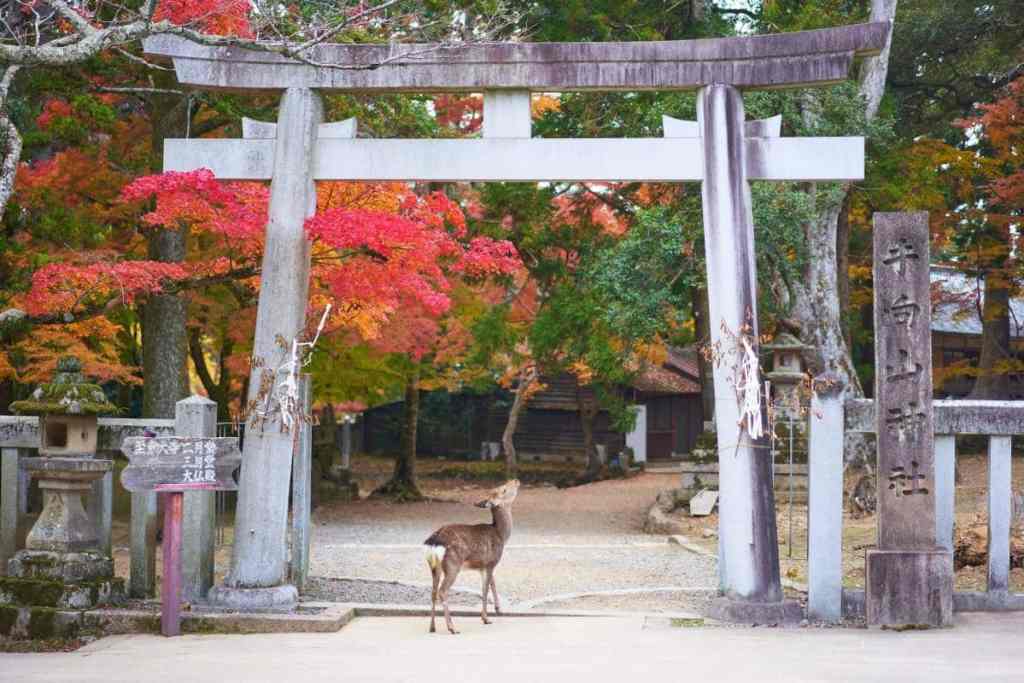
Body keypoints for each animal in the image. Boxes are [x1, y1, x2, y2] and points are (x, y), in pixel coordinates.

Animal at [424, 479, 520, 634]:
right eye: (503, 489)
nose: (516, 480)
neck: (501, 535)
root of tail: (433, 541)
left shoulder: (483, 566)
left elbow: (491, 584)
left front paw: (498, 609)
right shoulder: (491, 562)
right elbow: (486, 589)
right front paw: (486, 618)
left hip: (433, 566)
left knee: (433, 592)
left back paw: (432, 627)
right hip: (452, 565)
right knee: (442, 591)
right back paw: (452, 627)